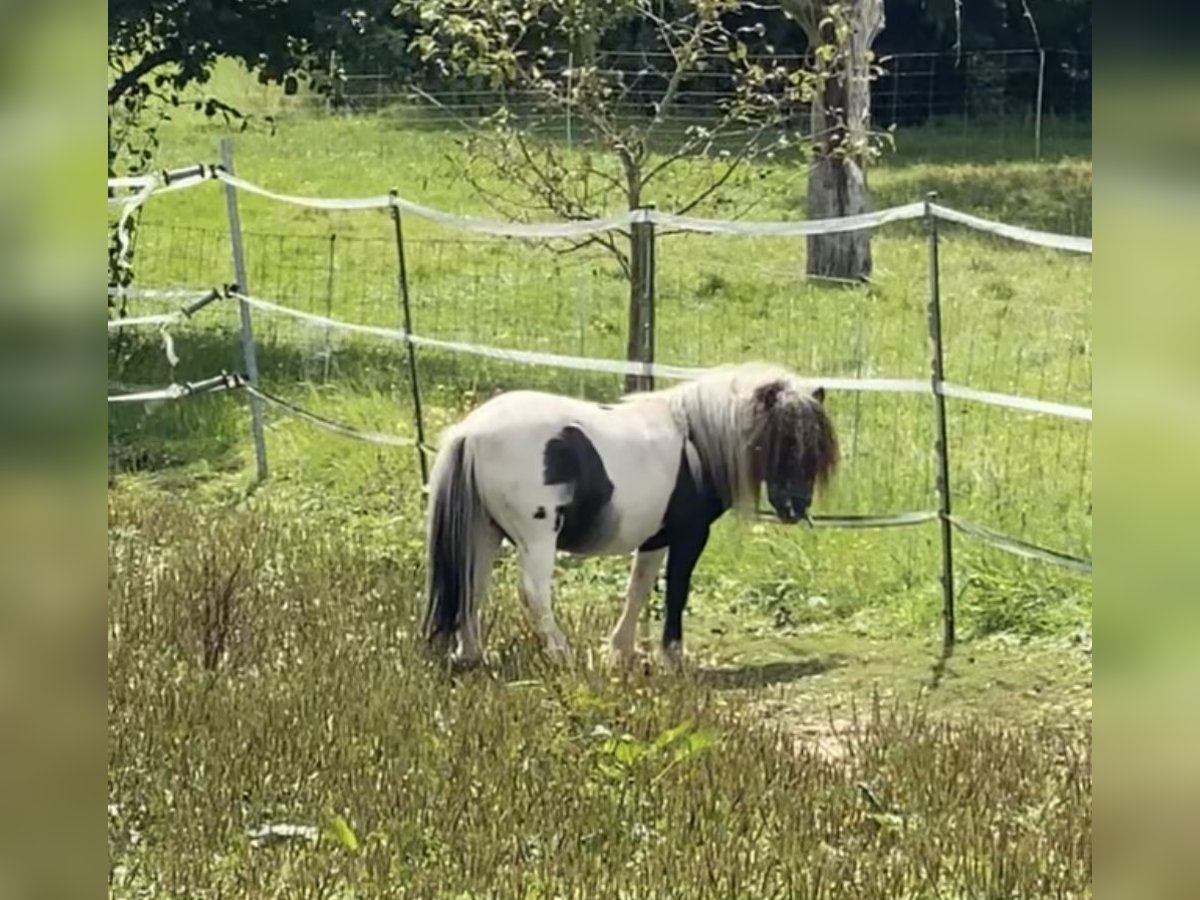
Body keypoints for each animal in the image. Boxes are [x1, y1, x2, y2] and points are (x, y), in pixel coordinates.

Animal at [422, 362, 844, 667]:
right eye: (781, 438)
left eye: (815, 446)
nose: (796, 506)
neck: (695, 440)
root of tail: (470, 432)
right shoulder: (690, 536)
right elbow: (676, 592)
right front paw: (672, 657)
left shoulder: (656, 538)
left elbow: (638, 589)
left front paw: (621, 651)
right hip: (536, 538)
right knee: (533, 592)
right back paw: (562, 655)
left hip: (484, 530)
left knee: (471, 585)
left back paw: (471, 655)